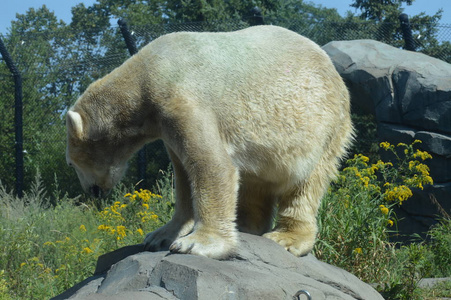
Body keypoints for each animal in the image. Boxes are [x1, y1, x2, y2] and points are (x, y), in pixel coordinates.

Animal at [66, 25, 354, 260]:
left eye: (70, 163)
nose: (91, 191)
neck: (147, 74)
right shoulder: (166, 124)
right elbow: (182, 176)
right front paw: (159, 236)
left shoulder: (181, 100)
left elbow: (211, 165)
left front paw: (196, 243)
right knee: (255, 179)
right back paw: (245, 226)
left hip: (323, 124)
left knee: (305, 183)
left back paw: (286, 237)